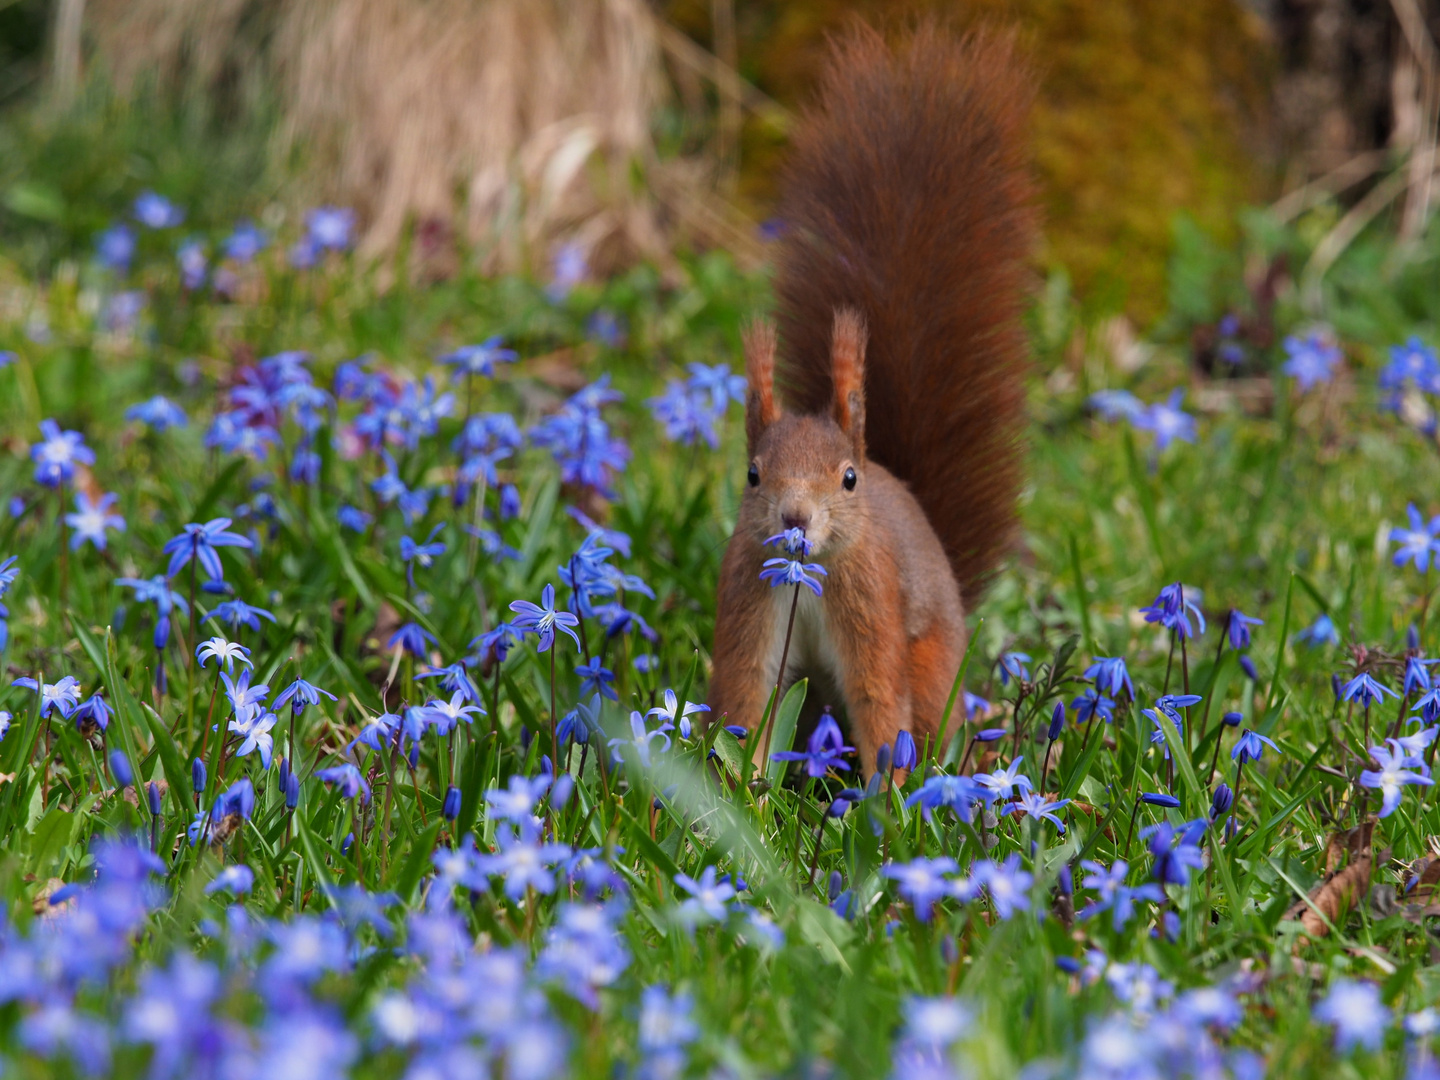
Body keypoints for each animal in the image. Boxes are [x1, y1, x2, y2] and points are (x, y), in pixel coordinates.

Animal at [708, 23, 1036, 777]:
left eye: (849, 479)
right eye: (753, 475)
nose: (796, 519)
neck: (808, 575)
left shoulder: (873, 610)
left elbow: (879, 698)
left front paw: (890, 796)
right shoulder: (748, 605)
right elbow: (745, 698)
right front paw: (739, 792)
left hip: (933, 665)